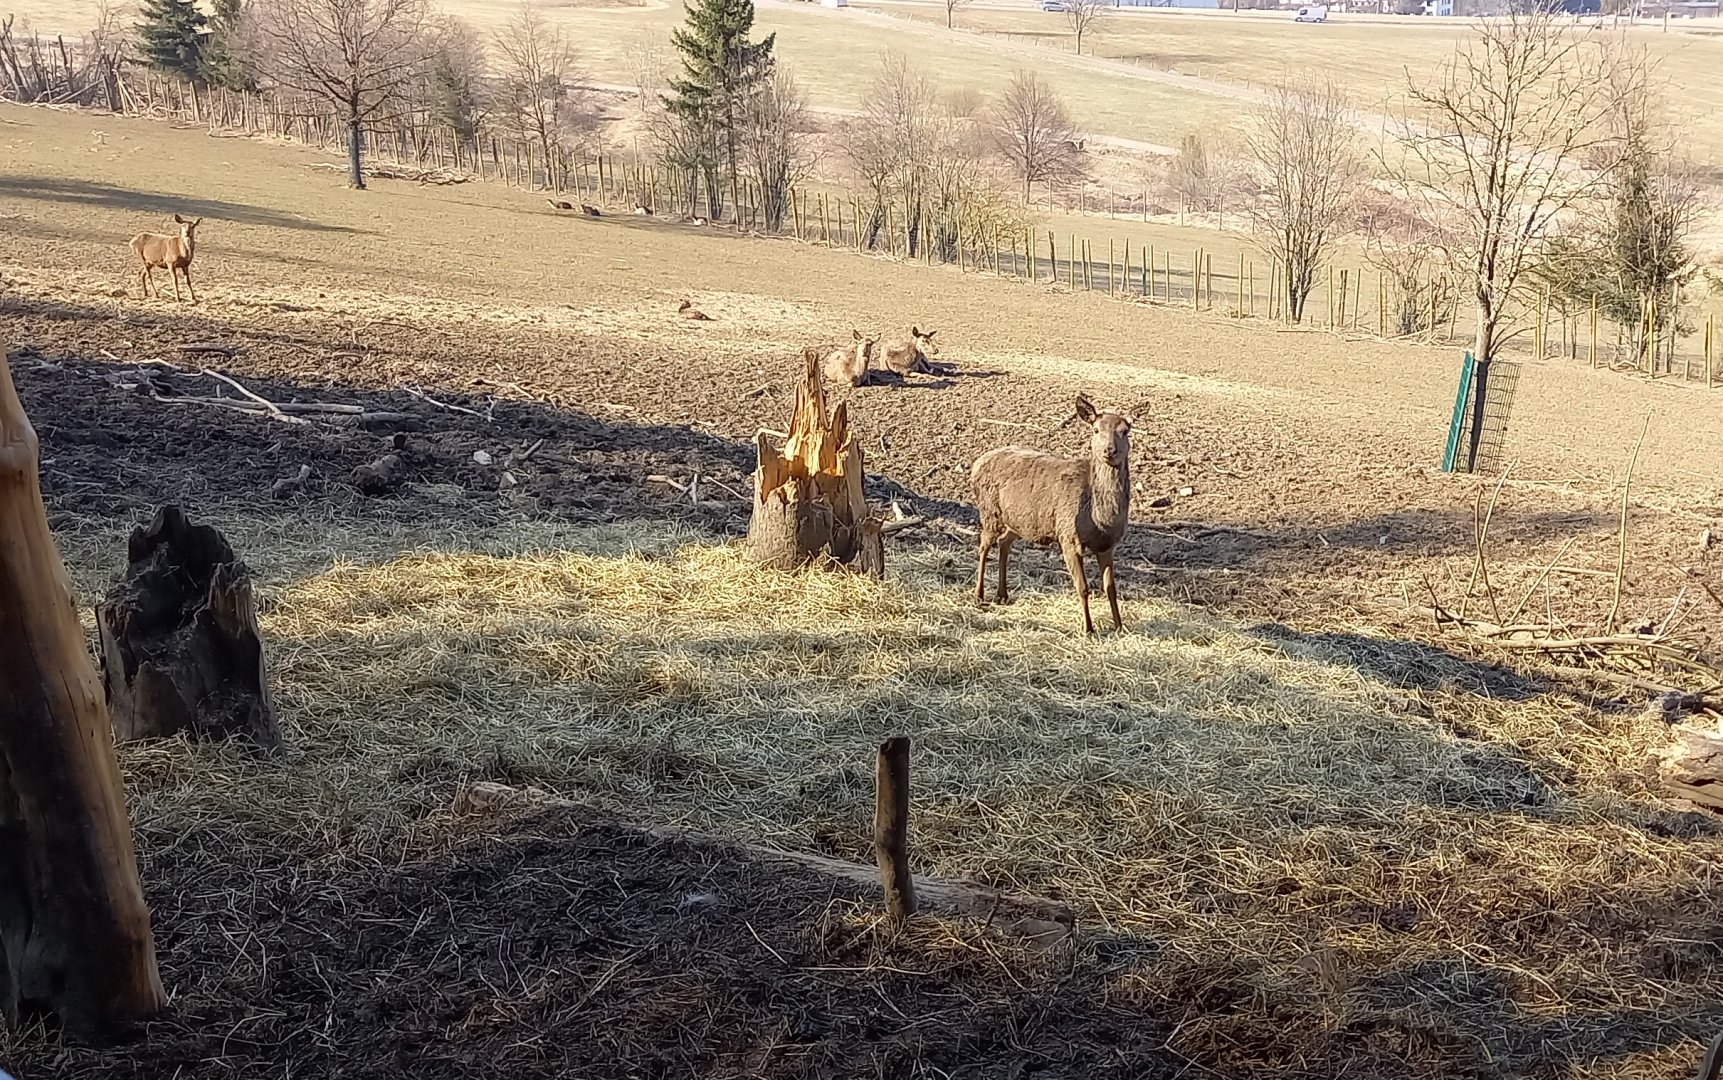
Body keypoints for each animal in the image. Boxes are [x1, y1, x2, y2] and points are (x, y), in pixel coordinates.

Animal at [970, 395, 1132, 635]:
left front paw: (1120, 626)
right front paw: (1088, 629)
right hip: (990, 512)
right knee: (983, 545)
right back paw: (979, 596)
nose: (1109, 450)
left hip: (1018, 521)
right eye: (1095, 429)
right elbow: (1083, 587)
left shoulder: (1108, 545)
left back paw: (1002, 594)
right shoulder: (1068, 536)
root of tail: (976, 464)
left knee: (1004, 541)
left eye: (1125, 430)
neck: (1099, 517)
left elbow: (1110, 588)